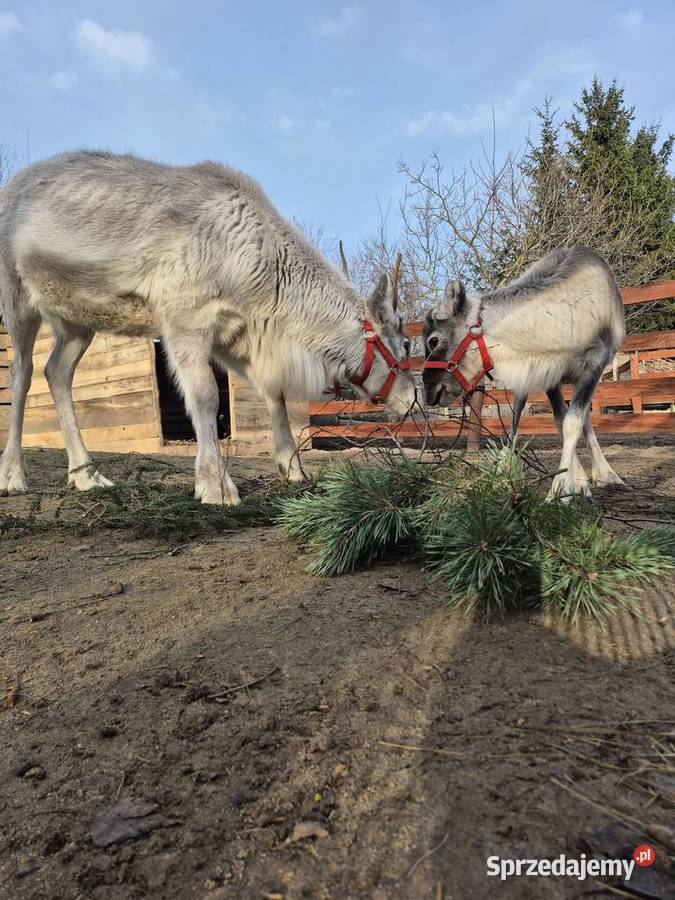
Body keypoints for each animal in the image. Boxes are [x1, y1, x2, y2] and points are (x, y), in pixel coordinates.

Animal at [0, 151, 416, 504]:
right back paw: (14, 475)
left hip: (77, 321)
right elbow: (205, 397)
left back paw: (87, 475)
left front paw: (292, 467)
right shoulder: (185, 321)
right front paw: (216, 485)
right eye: (406, 344)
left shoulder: (238, 336)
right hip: (17, 297)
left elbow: (274, 394)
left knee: (56, 372)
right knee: (21, 374)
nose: (414, 398)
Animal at [422, 246, 625, 500]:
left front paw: (560, 488)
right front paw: (571, 481)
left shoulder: (594, 363)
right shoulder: (548, 374)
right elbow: (559, 420)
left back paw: (606, 473)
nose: (428, 391)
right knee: (517, 415)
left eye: (433, 340)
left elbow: (572, 422)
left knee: (583, 418)